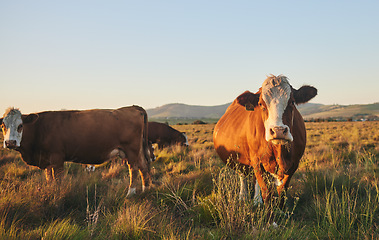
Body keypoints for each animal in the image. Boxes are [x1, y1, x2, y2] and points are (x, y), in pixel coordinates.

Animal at [1, 106, 153, 196]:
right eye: (3, 126)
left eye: (20, 125)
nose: (10, 142)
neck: (39, 128)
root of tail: (132, 107)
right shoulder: (47, 161)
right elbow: (49, 179)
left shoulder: (57, 159)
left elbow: (58, 181)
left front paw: (58, 196)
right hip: (137, 150)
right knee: (143, 166)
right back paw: (146, 189)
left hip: (131, 150)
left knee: (133, 169)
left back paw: (130, 193)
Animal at [214, 75, 318, 208]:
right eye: (261, 104)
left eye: (292, 102)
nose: (278, 131)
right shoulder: (257, 162)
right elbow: (266, 192)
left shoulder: (294, 164)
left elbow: (282, 191)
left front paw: (281, 210)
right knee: (243, 175)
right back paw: (245, 197)